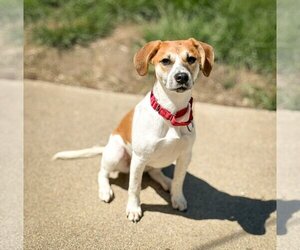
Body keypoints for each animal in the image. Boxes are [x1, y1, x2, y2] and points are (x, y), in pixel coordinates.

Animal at [53, 38, 213, 223]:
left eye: (192, 59)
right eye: (166, 61)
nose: (182, 77)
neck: (171, 112)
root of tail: (106, 146)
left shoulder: (185, 156)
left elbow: (179, 181)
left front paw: (177, 197)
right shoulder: (139, 159)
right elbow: (134, 187)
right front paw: (133, 208)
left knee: (154, 172)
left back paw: (167, 182)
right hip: (116, 154)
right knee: (102, 172)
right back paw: (105, 190)